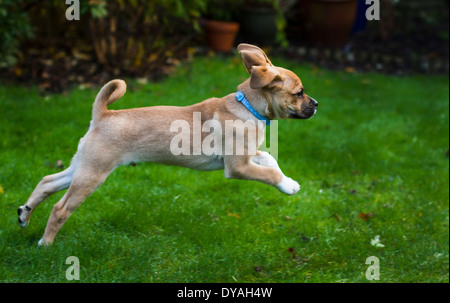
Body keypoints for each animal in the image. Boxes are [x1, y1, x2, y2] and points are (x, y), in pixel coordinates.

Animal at [17, 43, 318, 247]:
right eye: (299, 93)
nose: (315, 104)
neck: (248, 107)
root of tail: (102, 115)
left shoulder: (246, 156)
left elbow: (269, 160)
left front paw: (288, 179)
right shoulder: (237, 167)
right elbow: (269, 173)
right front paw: (288, 186)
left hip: (83, 166)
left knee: (47, 181)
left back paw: (24, 214)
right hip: (93, 174)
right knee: (60, 208)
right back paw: (45, 243)